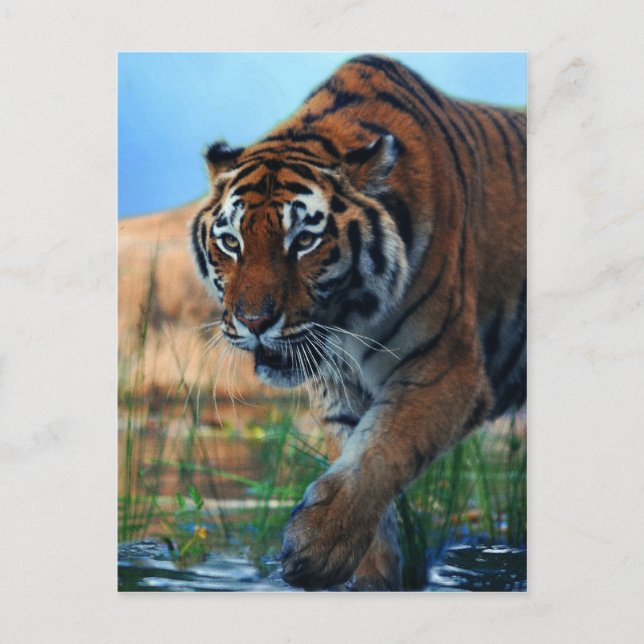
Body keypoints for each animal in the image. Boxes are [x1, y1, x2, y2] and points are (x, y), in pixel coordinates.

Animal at [190, 54, 526, 591]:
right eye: (231, 242)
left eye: (304, 242)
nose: (254, 321)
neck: (348, 320)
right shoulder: (336, 384)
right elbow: (356, 454)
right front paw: (365, 573)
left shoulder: (444, 370)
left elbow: (383, 449)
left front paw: (317, 547)